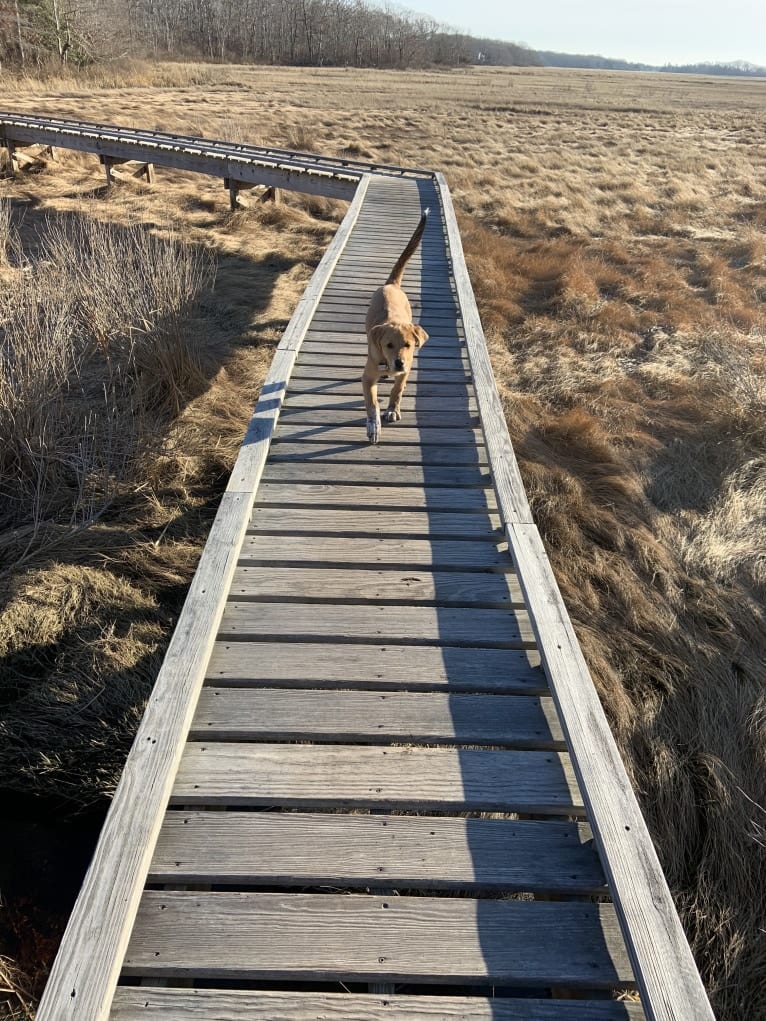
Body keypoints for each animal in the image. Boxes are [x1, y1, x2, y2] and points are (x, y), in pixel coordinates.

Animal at [363, 208, 428, 443]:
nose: (399, 363)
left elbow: (397, 390)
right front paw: (374, 426)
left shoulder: (406, 370)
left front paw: (392, 409)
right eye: (388, 345)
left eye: (409, 345)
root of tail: (391, 284)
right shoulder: (367, 378)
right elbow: (372, 404)